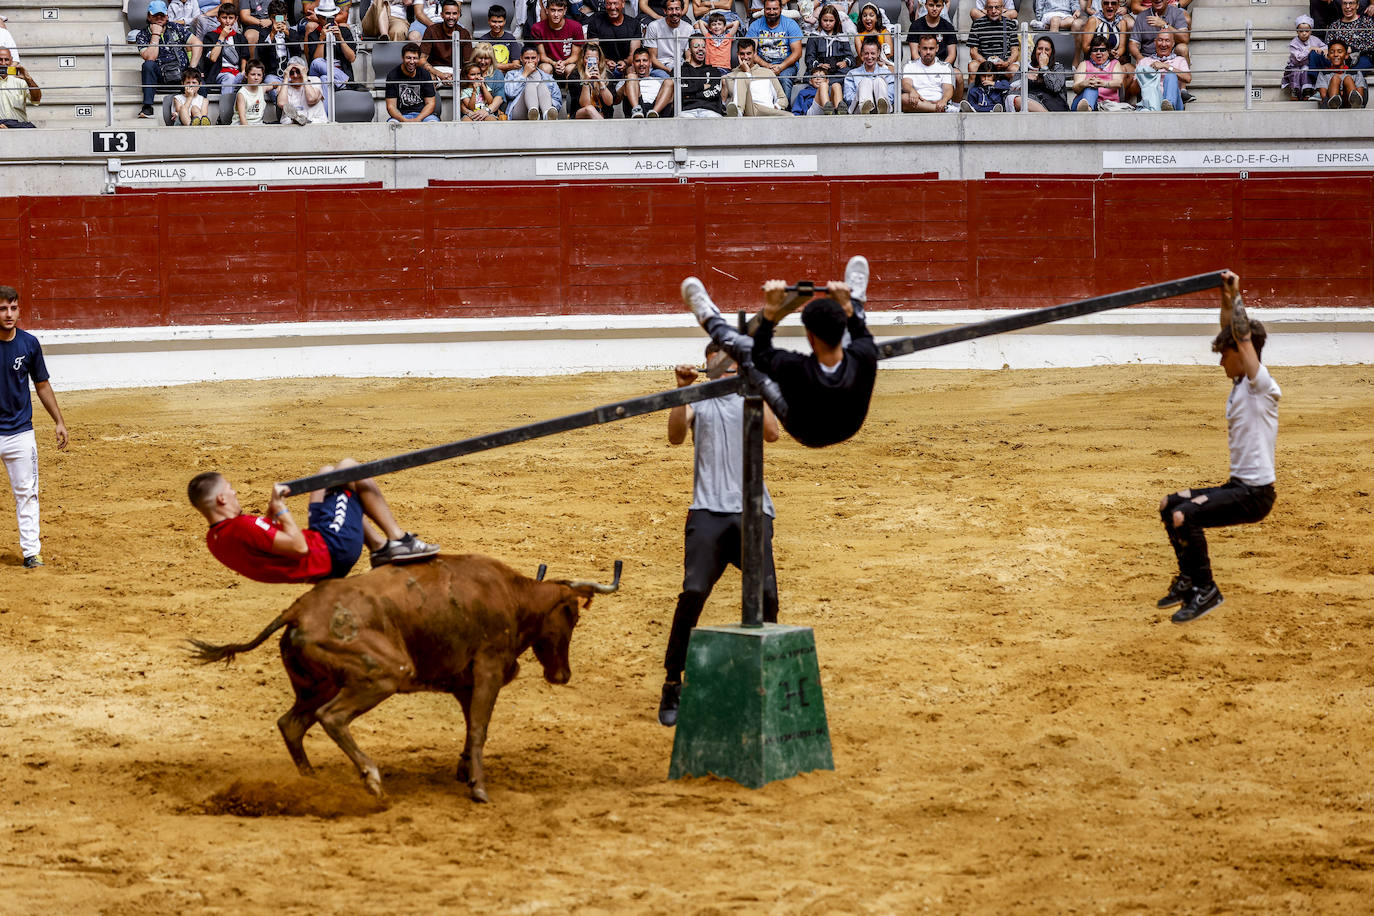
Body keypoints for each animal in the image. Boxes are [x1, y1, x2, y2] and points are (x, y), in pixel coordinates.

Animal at [188, 552, 618, 802]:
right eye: (572, 616)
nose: (561, 674)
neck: (512, 596)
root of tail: (298, 610)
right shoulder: (489, 670)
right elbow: (480, 728)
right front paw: (479, 787)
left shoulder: (465, 684)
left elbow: (469, 727)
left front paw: (464, 771)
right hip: (380, 676)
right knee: (331, 718)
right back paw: (371, 778)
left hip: (317, 685)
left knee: (291, 723)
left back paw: (311, 784)